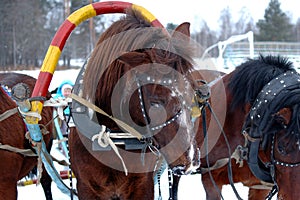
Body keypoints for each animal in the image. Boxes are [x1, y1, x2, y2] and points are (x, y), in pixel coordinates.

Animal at [69, 8, 202, 199]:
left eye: (192, 90)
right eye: (155, 102)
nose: (190, 159)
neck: (113, 138)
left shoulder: (142, 185)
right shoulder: (87, 188)